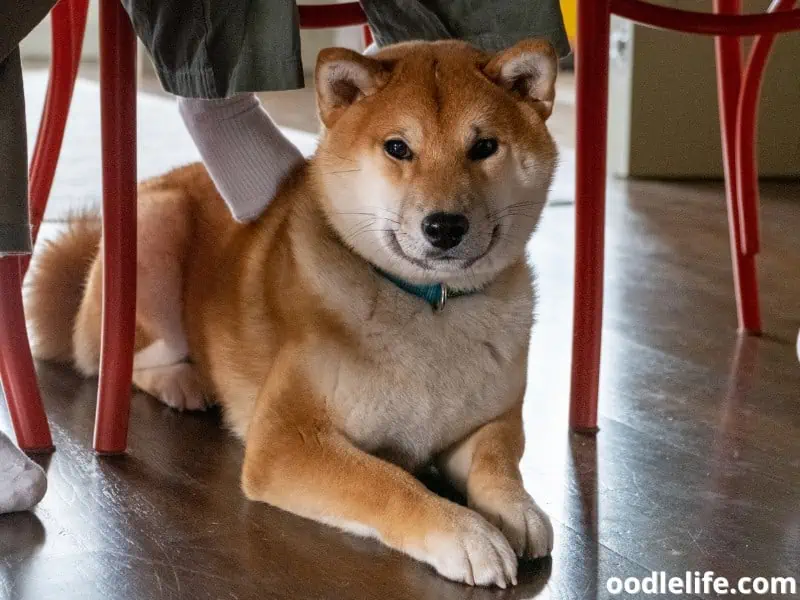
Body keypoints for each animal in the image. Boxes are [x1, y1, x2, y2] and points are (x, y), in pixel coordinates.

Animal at [28, 39, 560, 588]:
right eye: (397, 148)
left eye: (484, 147)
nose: (445, 226)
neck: (429, 304)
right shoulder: (288, 440)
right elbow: (387, 482)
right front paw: (465, 533)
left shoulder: (490, 420)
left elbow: (498, 461)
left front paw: (517, 508)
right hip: (157, 233)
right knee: (119, 360)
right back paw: (184, 382)